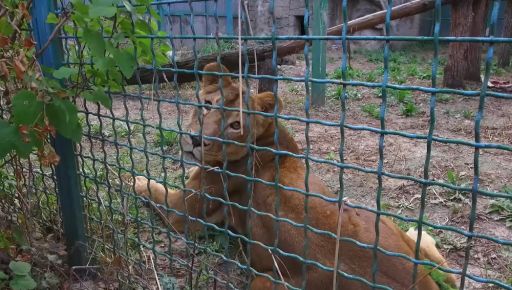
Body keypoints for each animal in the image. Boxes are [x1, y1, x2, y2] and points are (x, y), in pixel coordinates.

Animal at [134, 62, 458, 288]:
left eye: (236, 125)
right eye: (207, 105)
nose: (196, 139)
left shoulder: (181, 212)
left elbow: (155, 191)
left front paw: (137, 180)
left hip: (266, 281)